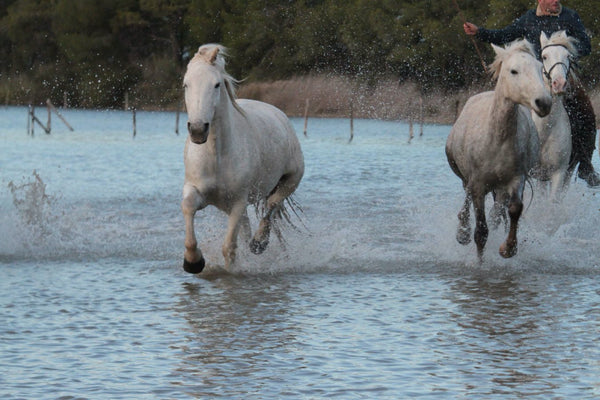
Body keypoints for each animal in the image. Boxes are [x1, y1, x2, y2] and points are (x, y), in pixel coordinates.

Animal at [182, 45, 304, 274]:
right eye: (186, 84)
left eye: (216, 85)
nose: (198, 130)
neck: (217, 157)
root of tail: (280, 114)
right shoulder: (196, 191)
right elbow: (188, 208)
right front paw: (193, 262)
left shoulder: (238, 201)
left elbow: (229, 247)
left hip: (291, 180)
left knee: (272, 205)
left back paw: (259, 242)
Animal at [446, 39, 552, 260]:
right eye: (514, 71)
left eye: (540, 69)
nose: (544, 103)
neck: (496, 139)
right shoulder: (477, 184)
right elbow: (481, 232)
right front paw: (479, 262)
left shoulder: (516, 178)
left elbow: (515, 209)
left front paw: (508, 248)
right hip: (466, 177)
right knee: (467, 198)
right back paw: (462, 232)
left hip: (500, 187)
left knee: (497, 213)